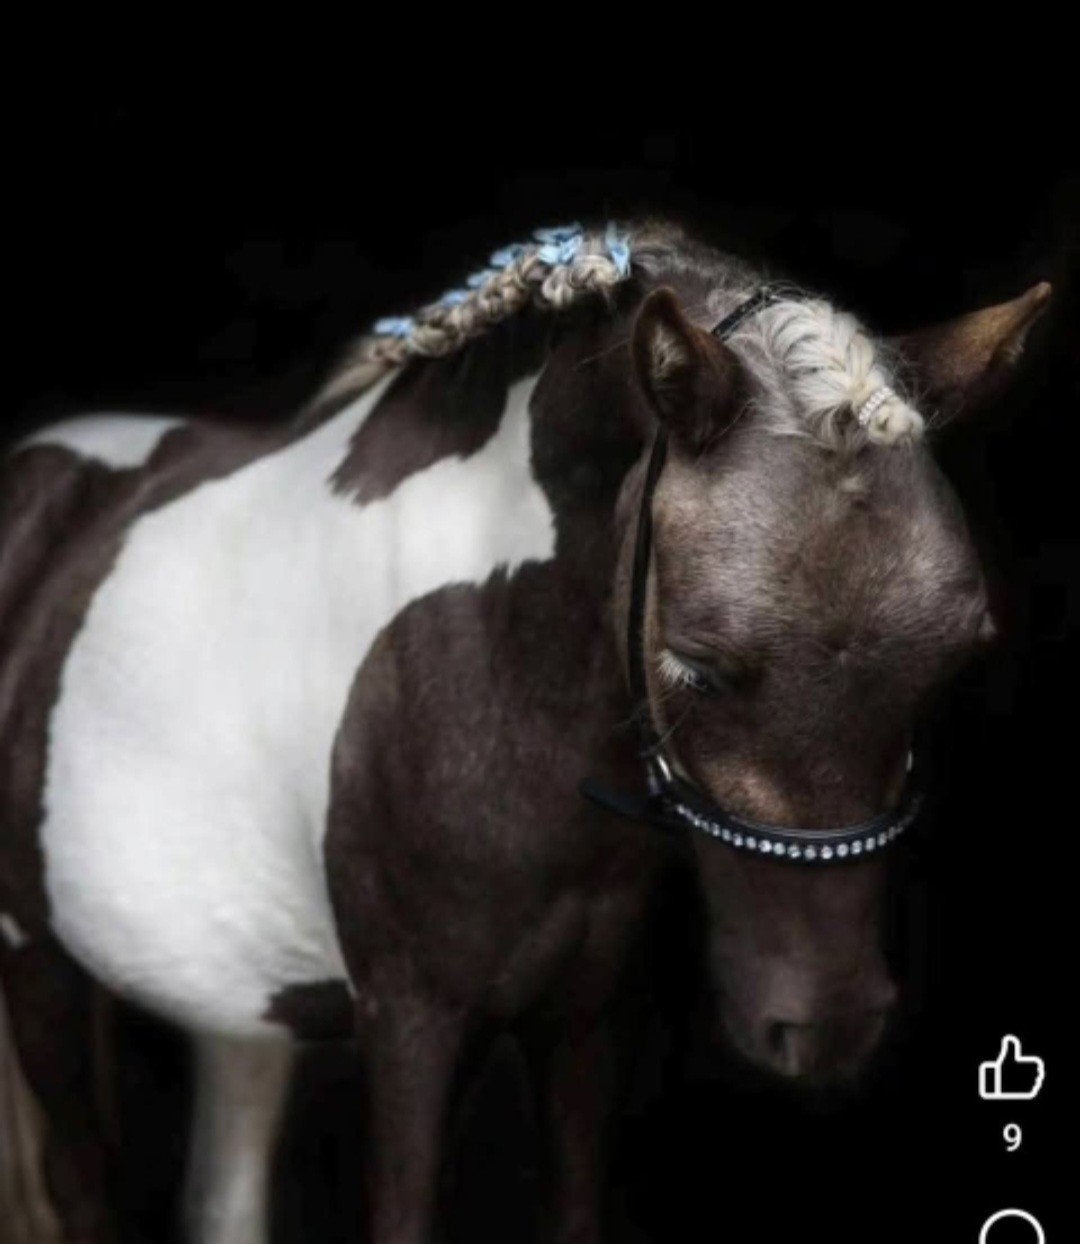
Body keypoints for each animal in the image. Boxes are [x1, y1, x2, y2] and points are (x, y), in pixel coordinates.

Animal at [0, 219, 1050, 1243]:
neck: (502, 667)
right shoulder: (411, 1024)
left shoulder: (585, 1018)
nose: (828, 1030)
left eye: (955, 663)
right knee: (76, 1189)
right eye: (696, 664)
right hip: (39, 966)